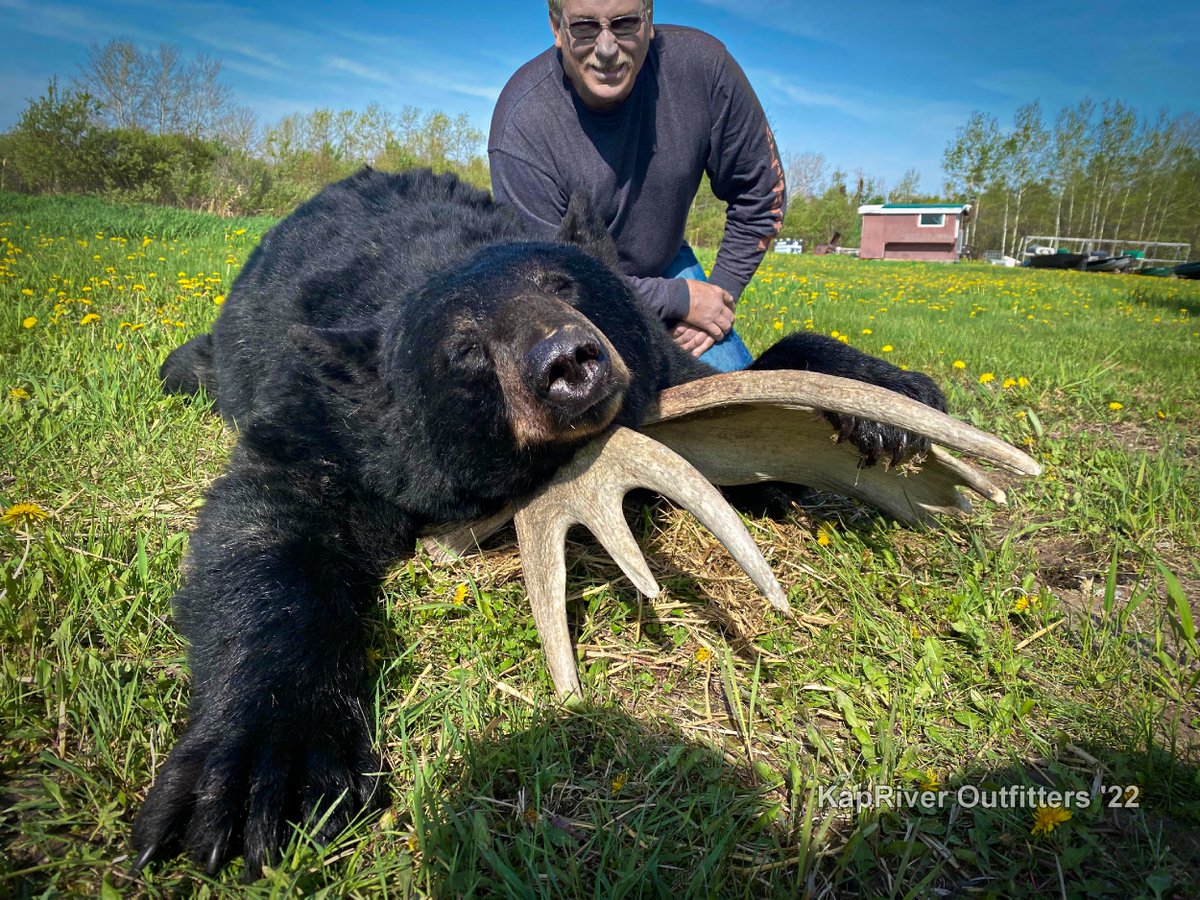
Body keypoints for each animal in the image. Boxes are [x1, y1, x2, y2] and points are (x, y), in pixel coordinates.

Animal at [134, 167, 946, 876]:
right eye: (465, 348)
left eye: (563, 284)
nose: (567, 360)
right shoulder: (329, 423)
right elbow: (268, 531)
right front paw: (262, 767)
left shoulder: (668, 379)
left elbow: (761, 415)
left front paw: (888, 403)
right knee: (191, 368)